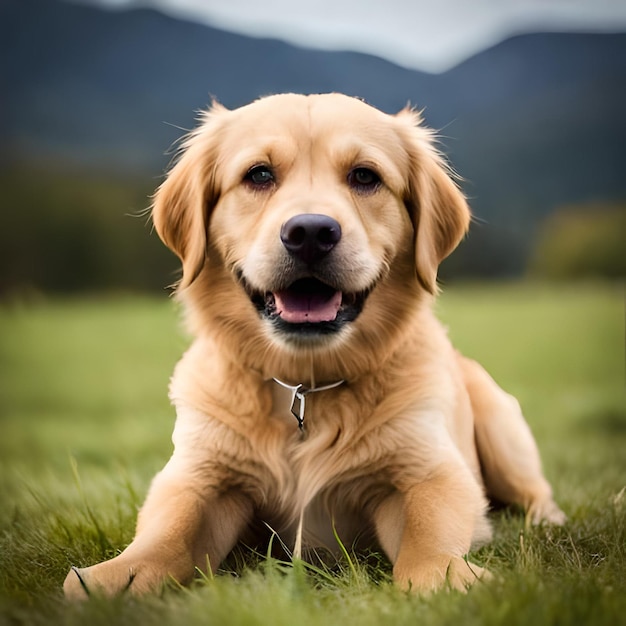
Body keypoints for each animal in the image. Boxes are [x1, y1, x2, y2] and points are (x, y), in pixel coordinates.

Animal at [63, 91, 564, 596]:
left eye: (365, 176)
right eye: (258, 174)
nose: (310, 232)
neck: (306, 387)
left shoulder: (427, 471)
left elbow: (428, 535)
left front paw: (447, 576)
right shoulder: (202, 477)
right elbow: (169, 533)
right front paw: (113, 576)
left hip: (500, 427)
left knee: (536, 492)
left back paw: (548, 523)